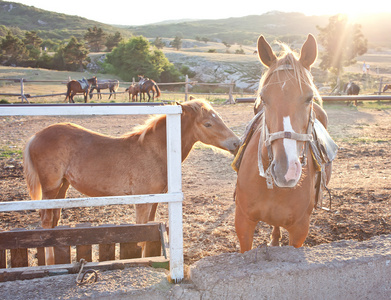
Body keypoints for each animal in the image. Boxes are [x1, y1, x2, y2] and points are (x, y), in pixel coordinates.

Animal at [23, 99, 239, 264]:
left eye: (219, 118)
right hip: (50, 188)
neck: (154, 152)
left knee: (54, 219)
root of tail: (35, 136)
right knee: (46, 221)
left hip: (62, 186)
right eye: (207, 124)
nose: (236, 143)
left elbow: (150, 229)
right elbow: (141, 233)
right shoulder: (142, 201)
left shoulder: (155, 198)